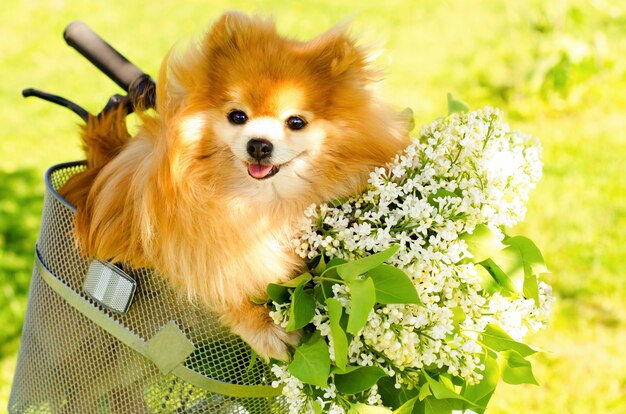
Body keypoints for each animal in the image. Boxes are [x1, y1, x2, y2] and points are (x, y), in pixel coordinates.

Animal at [61, 11, 408, 362]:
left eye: (296, 122)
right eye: (237, 116)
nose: (259, 145)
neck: (261, 203)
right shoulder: (180, 242)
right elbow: (223, 277)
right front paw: (263, 325)